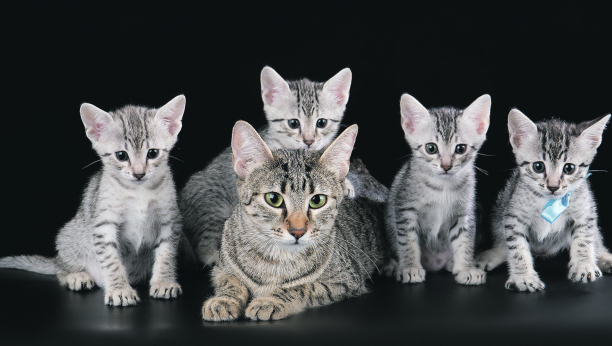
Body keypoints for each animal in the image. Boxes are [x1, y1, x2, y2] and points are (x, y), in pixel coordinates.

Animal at [0, 94, 185, 306]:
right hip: (69, 237)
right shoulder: (104, 224)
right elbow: (111, 261)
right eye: (121, 155)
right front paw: (120, 289)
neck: (139, 191)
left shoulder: (170, 220)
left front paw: (164, 282)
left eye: (153, 153)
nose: (139, 174)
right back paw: (76, 276)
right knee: (60, 269)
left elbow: (166, 254)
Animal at [202, 121, 388, 322]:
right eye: (273, 198)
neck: (274, 259)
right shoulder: (220, 269)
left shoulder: (344, 280)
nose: (297, 231)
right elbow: (231, 282)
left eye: (317, 200)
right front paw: (224, 299)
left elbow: (302, 287)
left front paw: (271, 300)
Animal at [388, 93, 492, 286]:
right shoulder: (405, 209)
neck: (443, 186)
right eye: (431, 148)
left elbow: (465, 241)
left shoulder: (464, 213)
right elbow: (408, 241)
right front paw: (410, 267)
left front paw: (465, 268)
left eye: (460, 148)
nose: (446, 166)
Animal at [478, 111, 612, 292]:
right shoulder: (513, 218)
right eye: (538, 167)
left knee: (596, 239)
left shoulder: (585, 212)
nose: (553, 186)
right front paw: (524, 277)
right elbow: (517, 249)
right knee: (502, 243)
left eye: (569, 168)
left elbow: (584, 240)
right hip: (501, 207)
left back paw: (605, 257)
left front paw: (583, 266)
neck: (550, 201)